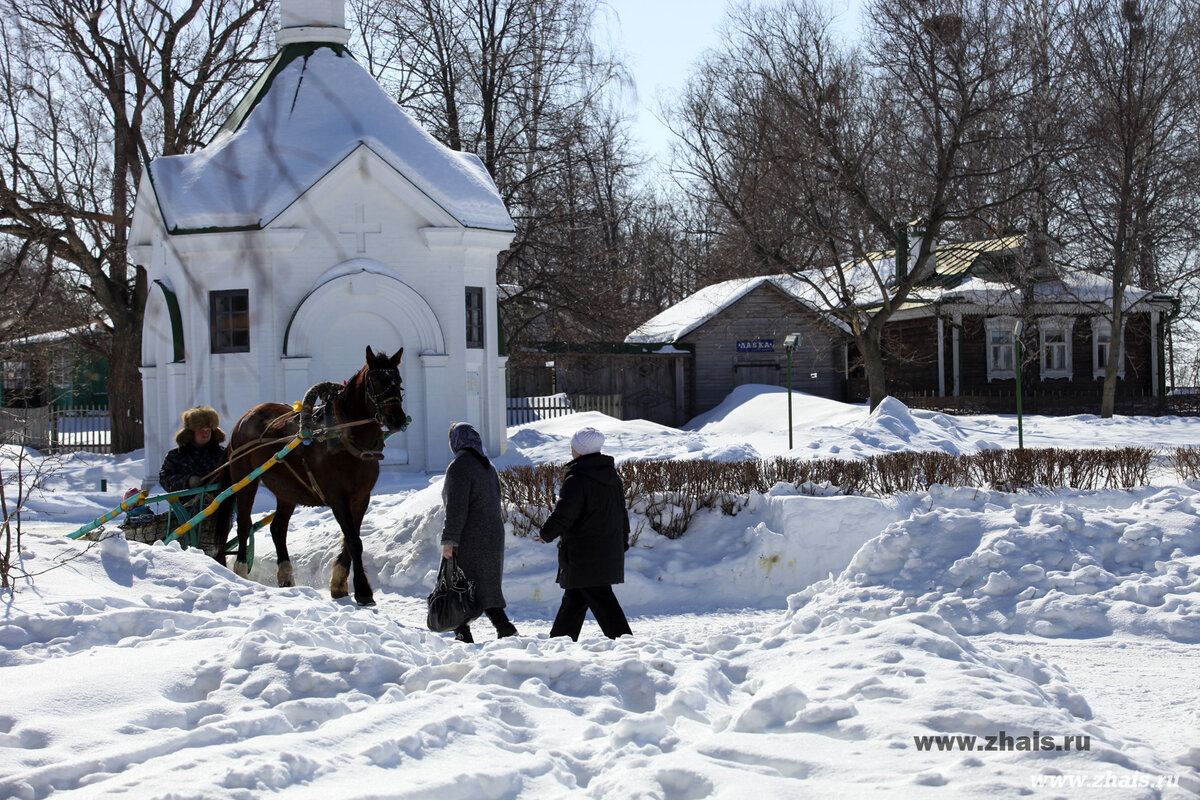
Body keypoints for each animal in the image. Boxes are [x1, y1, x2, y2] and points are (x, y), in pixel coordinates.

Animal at [223, 345, 410, 606]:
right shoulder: (336, 497)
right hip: (245, 480)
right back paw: (240, 571)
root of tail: (246, 417)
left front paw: (339, 582)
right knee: (244, 524)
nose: (396, 419)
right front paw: (363, 590)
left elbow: (351, 538)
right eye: (374, 382)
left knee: (278, 529)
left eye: (398, 381)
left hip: (287, 490)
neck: (344, 438)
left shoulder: (361, 497)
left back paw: (286, 577)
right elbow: (354, 540)